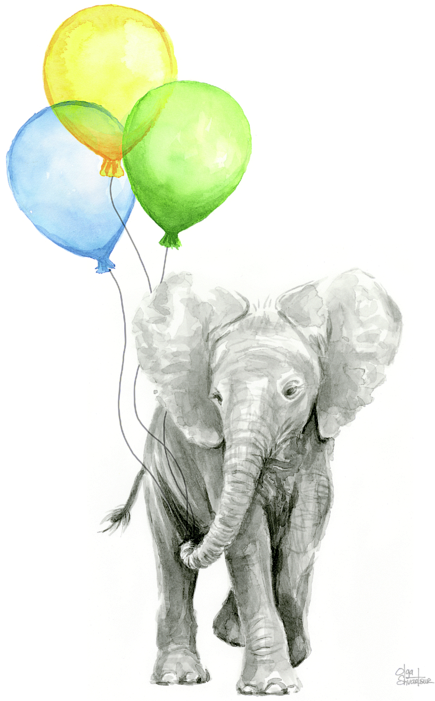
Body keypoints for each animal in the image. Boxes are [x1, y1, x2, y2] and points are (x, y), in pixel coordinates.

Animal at [100, 266, 404, 696]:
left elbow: (307, 523)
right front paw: (273, 686)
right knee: (171, 559)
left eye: (292, 391)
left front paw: (294, 654)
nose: (195, 543)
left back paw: (230, 633)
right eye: (217, 398)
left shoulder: (316, 432)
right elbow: (247, 536)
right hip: (162, 473)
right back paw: (180, 678)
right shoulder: (215, 447)